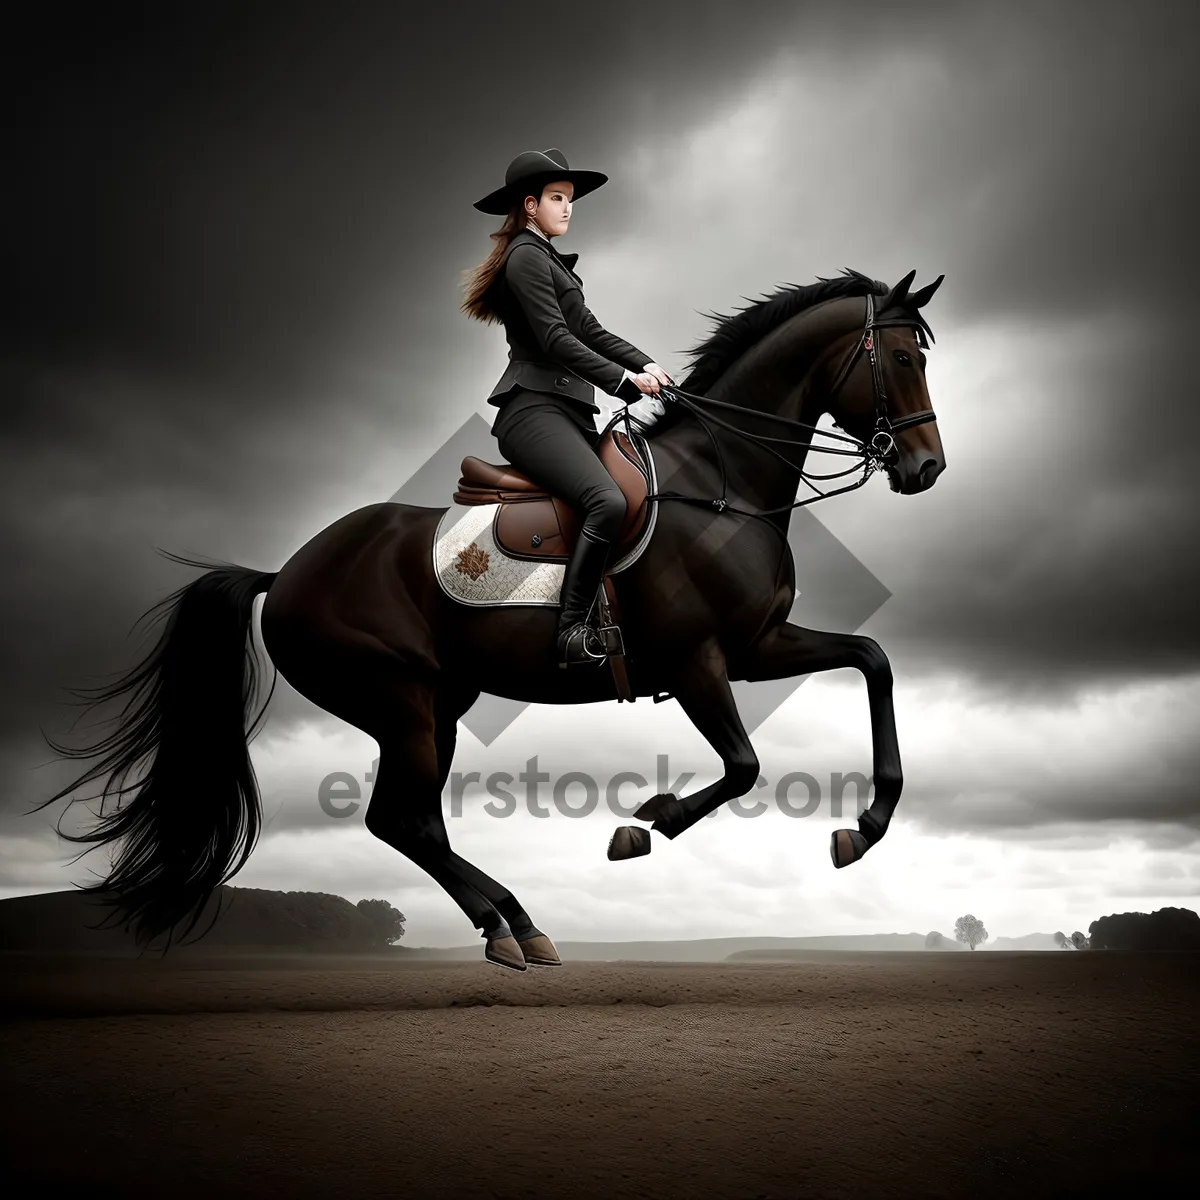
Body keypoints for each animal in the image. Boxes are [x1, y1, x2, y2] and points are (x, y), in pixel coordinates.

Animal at [30, 267, 945, 969]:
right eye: (901, 356)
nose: (926, 468)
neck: (720, 482)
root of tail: (286, 572)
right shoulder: (698, 662)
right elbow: (746, 766)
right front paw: (646, 825)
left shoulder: (757, 646)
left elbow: (871, 659)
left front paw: (864, 827)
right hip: (396, 698)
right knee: (402, 821)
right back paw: (513, 925)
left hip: (440, 702)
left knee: (409, 822)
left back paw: (516, 926)